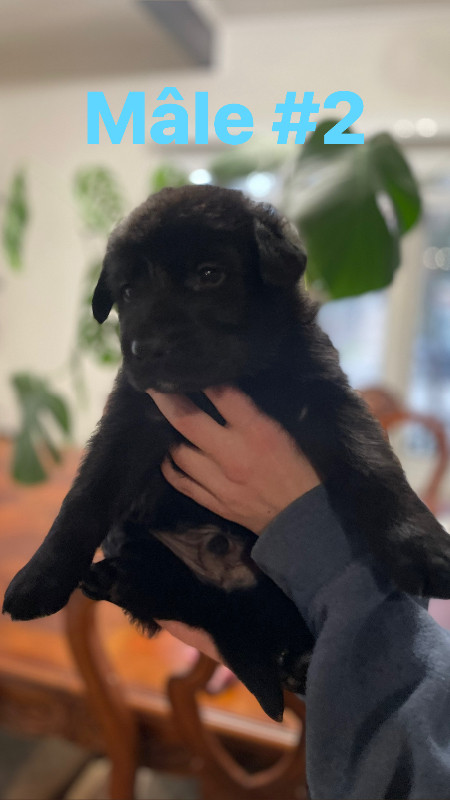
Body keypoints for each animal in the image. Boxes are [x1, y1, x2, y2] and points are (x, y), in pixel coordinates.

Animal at [3, 184, 450, 720]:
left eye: (209, 275)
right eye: (127, 292)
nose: (145, 349)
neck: (223, 380)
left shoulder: (323, 395)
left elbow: (372, 464)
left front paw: (420, 546)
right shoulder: (131, 417)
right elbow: (84, 499)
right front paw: (38, 580)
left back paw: (300, 661)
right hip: (148, 547)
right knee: (188, 602)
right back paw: (116, 580)